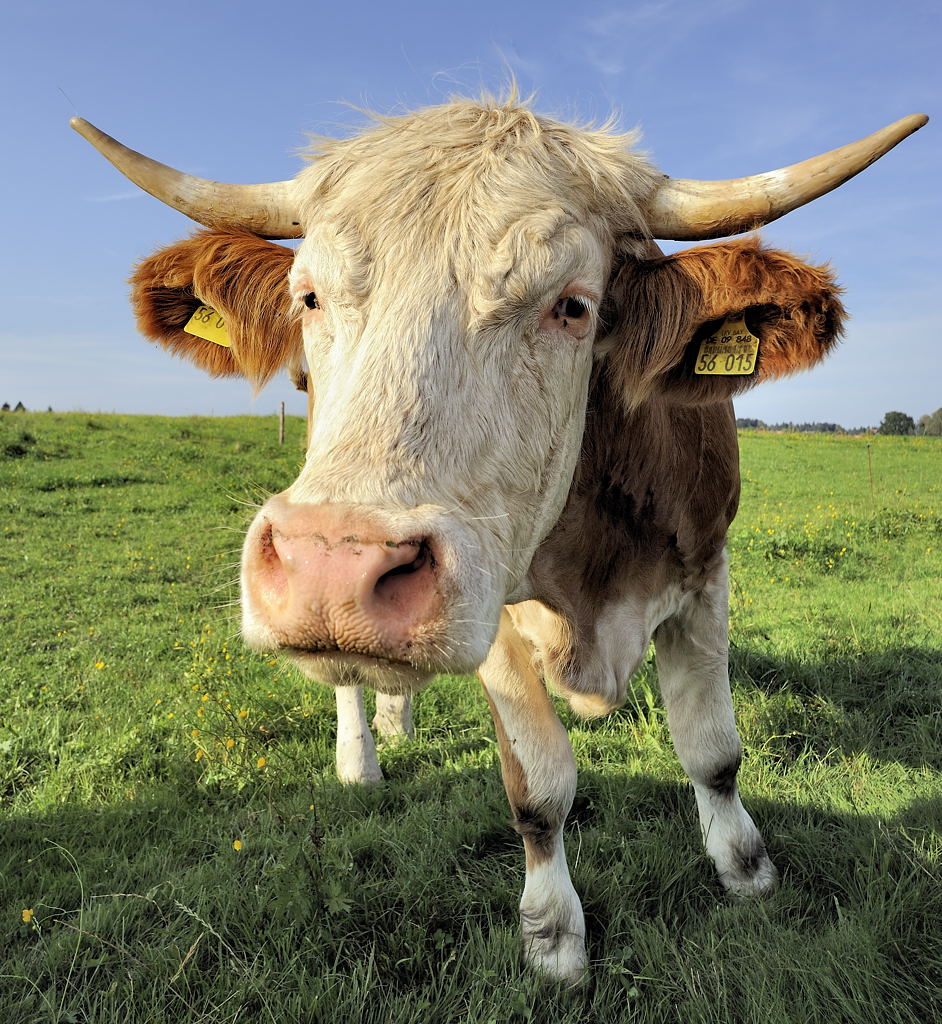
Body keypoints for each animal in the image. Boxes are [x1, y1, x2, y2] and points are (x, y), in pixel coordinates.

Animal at [73, 97, 925, 983]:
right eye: (307, 297)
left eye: (573, 305)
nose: (333, 569)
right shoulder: (497, 616)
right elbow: (538, 789)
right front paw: (553, 933)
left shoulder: (704, 572)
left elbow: (713, 750)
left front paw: (746, 869)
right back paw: (361, 757)